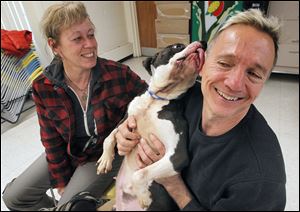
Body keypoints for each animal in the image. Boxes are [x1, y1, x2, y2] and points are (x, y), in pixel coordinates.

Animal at [96, 41, 206, 210]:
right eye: (177, 46)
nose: (203, 43)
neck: (156, 100)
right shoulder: (125, 121)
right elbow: (109, 137)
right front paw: (105, 160)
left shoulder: (178, 155)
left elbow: (139, 174)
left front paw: (143, 195)